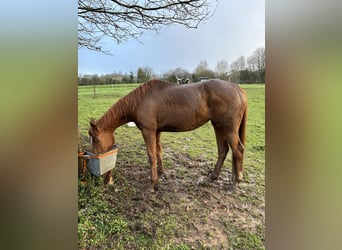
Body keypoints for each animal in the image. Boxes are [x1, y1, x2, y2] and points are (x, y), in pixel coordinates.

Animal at [89, 79, 247, 188]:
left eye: (96, 139)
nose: (94, 158)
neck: (140, 101)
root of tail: (236, 87)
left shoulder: (148, 131)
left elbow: (151, 155)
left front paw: (152, 182)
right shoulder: (157, 131)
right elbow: (158, 151)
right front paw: (160, 172)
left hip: (229, 129)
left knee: (237, 150)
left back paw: (237, 179)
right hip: (218, 126)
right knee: (223, 150)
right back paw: (214, 177)